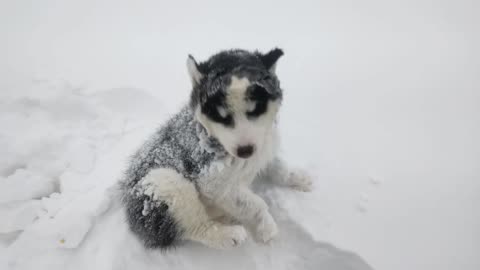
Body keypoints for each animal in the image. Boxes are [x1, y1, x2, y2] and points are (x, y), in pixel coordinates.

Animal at [121, 48, 312, 249]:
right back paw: (229, 234)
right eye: (221, 117)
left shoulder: (264, 147)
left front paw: (299, 178)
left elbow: (278, 167)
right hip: (163, 183)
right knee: (195, 227)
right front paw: (266, 225)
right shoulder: (213, 183)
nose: (245, 151)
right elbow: (256, 202)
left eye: (256, 109)